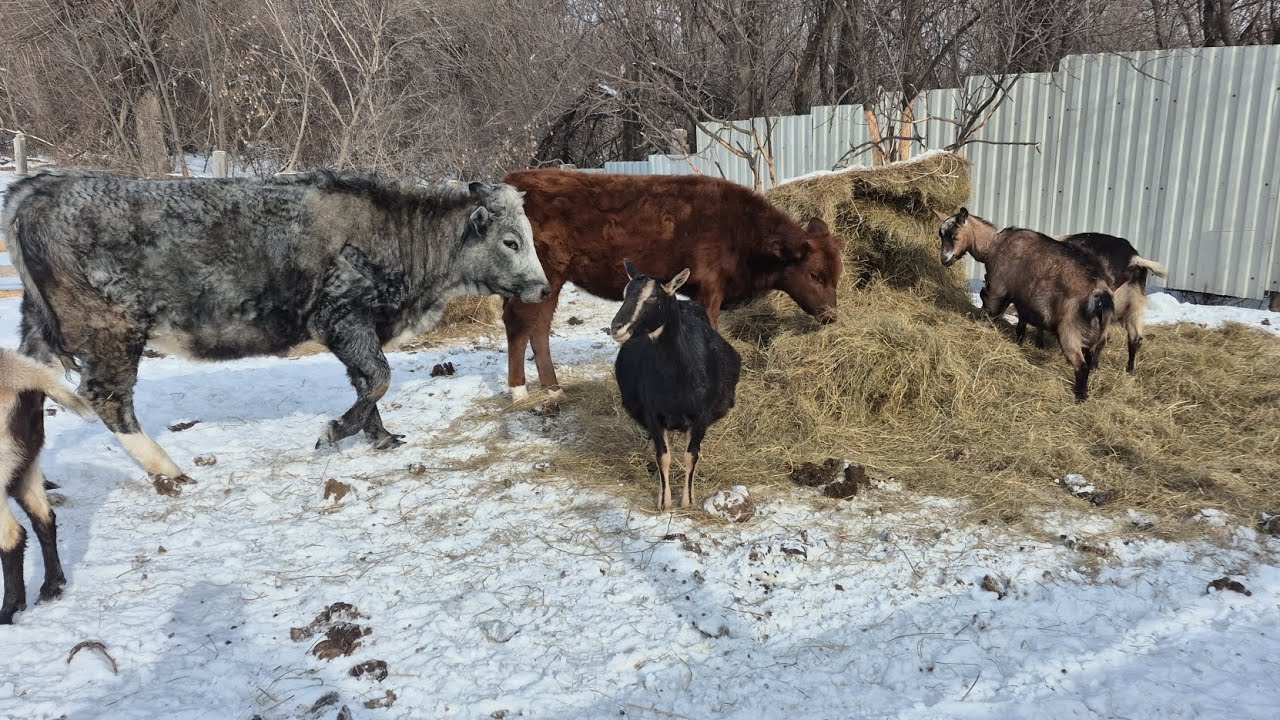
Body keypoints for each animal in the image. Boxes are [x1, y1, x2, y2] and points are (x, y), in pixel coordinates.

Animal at [4, 170, 550, 490]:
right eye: (510, 240)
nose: (543, 288)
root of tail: (38, 186)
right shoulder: (342, 319)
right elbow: (378, 379)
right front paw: (335, 432)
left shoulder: (358, 332)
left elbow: (368, 383)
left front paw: (381, 437)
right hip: (111, 332)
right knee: (109, 399)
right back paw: (168, 470)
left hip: (40, 329)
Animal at [498, 169, 843, 399]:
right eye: (815, 275)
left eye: (837, 274)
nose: (831, 315)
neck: (739, 230)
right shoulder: (709, 290)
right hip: (545, 279)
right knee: (522, 324)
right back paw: (524, 391)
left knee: (536, 327)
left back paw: (551, 388)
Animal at [611, 260, 742, 510]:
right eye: (624, 293)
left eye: (653, 297)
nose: (616, 327)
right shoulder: (653, 413)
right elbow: (663, 456)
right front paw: (665, 502)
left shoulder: (701, 415)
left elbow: (691, 456)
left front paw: (688, 501)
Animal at [936, 208, 1115, 401]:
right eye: (941, 234)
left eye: (954, 235)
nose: (944, 260)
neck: (994, 245)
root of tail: (1102, 298)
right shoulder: (1023, 300)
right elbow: (1020, 326)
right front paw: (1019, 344)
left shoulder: (998, 289)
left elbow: (990, 312)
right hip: (1096, 340)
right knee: (1090, 362)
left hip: (1070, 332)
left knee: (1081, 366)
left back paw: (1080, 398)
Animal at [1017, 233, 1168, 375]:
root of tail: (1134, 257)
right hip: (1134, 303)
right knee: (1135, 338)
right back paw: (1130, 371)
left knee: (1102, 338)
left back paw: (1093, 366)